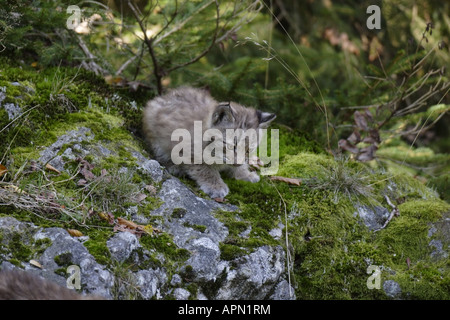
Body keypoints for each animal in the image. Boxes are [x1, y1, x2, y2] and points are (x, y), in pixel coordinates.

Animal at [142, 86, 276, 199]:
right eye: (231, 146)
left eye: (249, 149)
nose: (237, 163)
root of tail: (164, 96)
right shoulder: (189, 151)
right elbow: (205, 169)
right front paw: (216, 186)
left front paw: (244, 174)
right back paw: (174, 166)